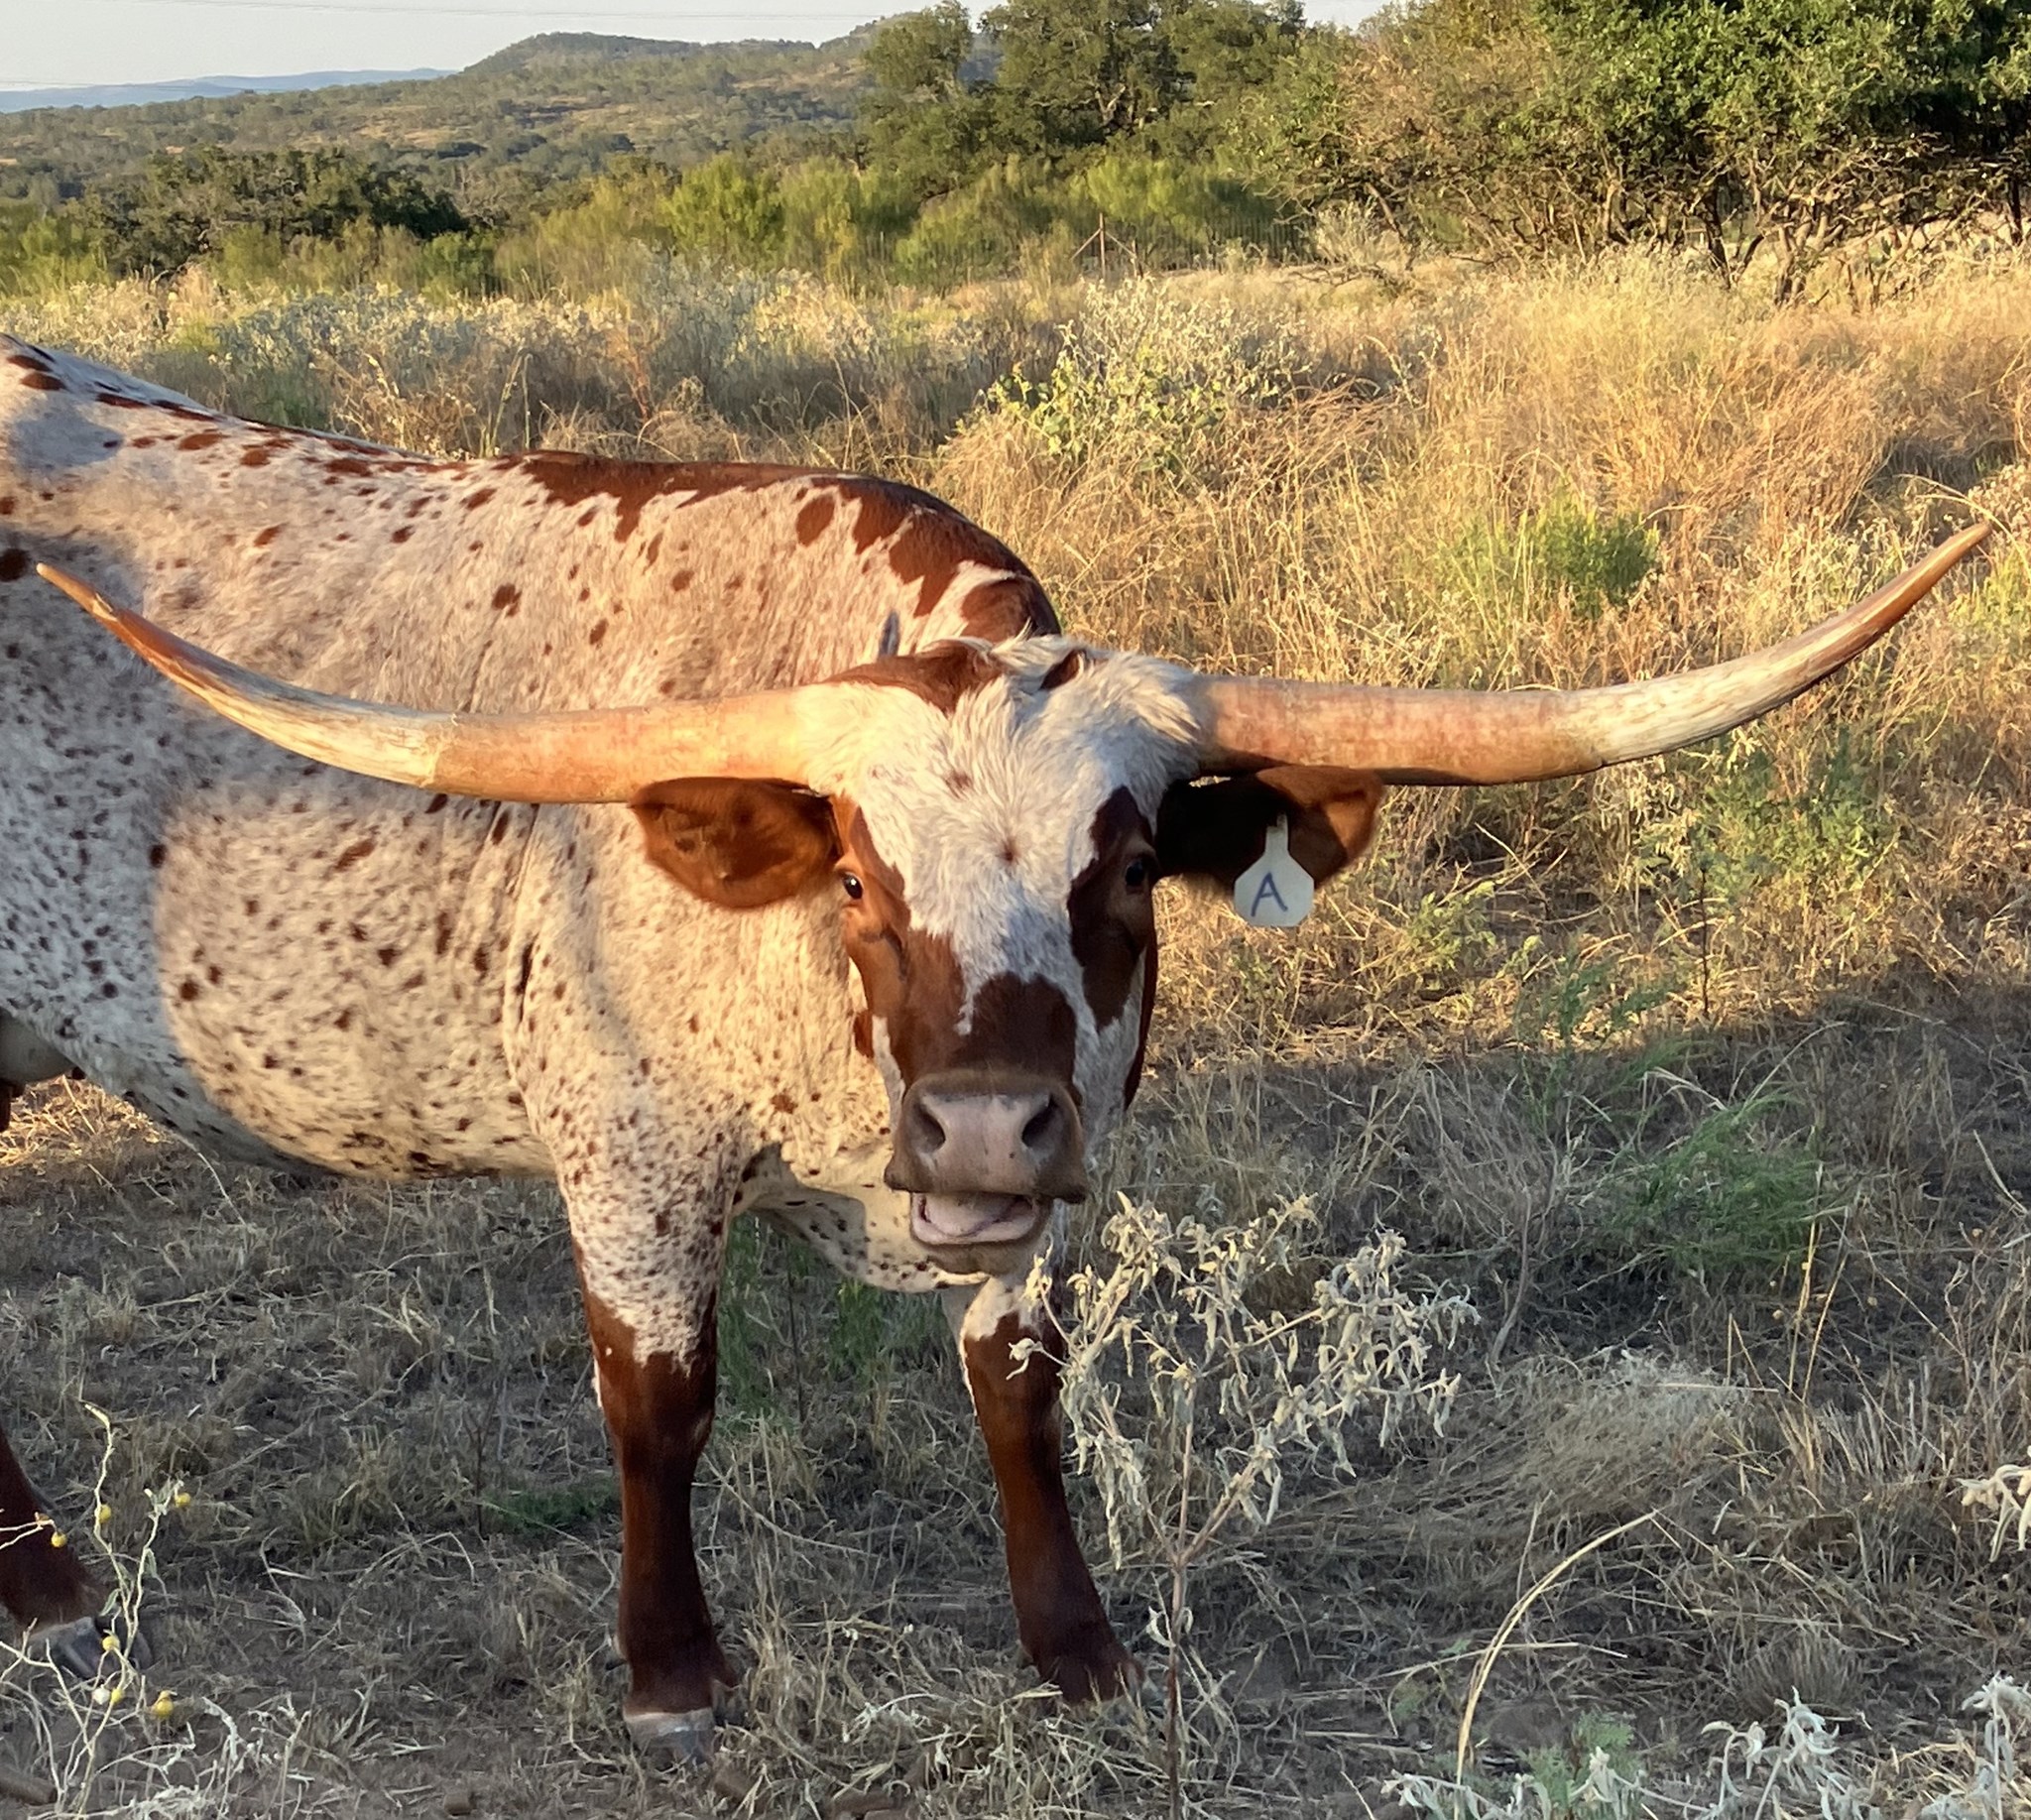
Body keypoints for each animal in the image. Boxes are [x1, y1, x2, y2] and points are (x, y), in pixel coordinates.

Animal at [0, 332, 1987, 1757]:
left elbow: (1019, 1388)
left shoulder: (1065, 1154)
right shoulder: (633, 1153)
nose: (969, 1133)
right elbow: (661, 1407)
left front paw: (1076, 1648)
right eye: (858, 876)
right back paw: (46, 1580)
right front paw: (673, 1671)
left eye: (1126, 869)